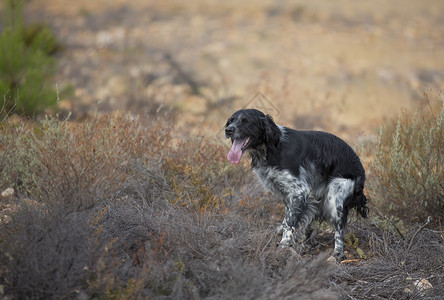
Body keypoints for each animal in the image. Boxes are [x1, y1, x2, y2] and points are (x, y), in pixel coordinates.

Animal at [225, 109, 368, 262]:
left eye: (246, 121)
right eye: (231, 120)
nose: (228, 130)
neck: (273, 147)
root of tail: (361, 170)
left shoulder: (300, 191)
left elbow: (290, 223)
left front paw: (283, 246)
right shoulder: (288, 193)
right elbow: (288, 216)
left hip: (335, 199)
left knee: (339, 231)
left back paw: (337, 255)